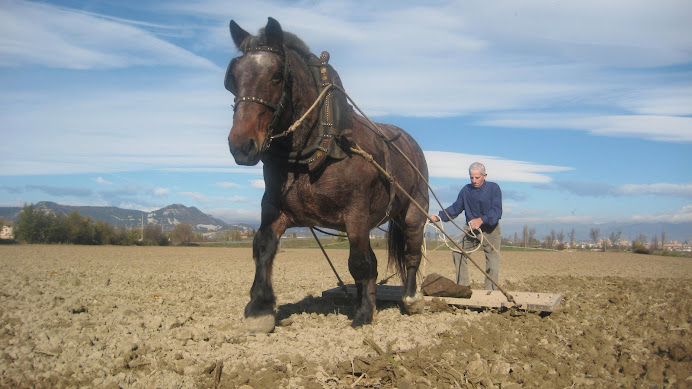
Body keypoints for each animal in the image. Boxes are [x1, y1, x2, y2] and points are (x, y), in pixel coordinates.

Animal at [224, 18, 430, 332]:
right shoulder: (273, 207)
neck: (317, 148)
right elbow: (263, 246)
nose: (241, 146)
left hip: (413, 211)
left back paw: (410, 299)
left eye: (276, 76)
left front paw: (362, 315)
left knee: (411, 252)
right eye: (232, 78)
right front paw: (259, 309)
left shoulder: (356, 214)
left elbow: (359, 263)